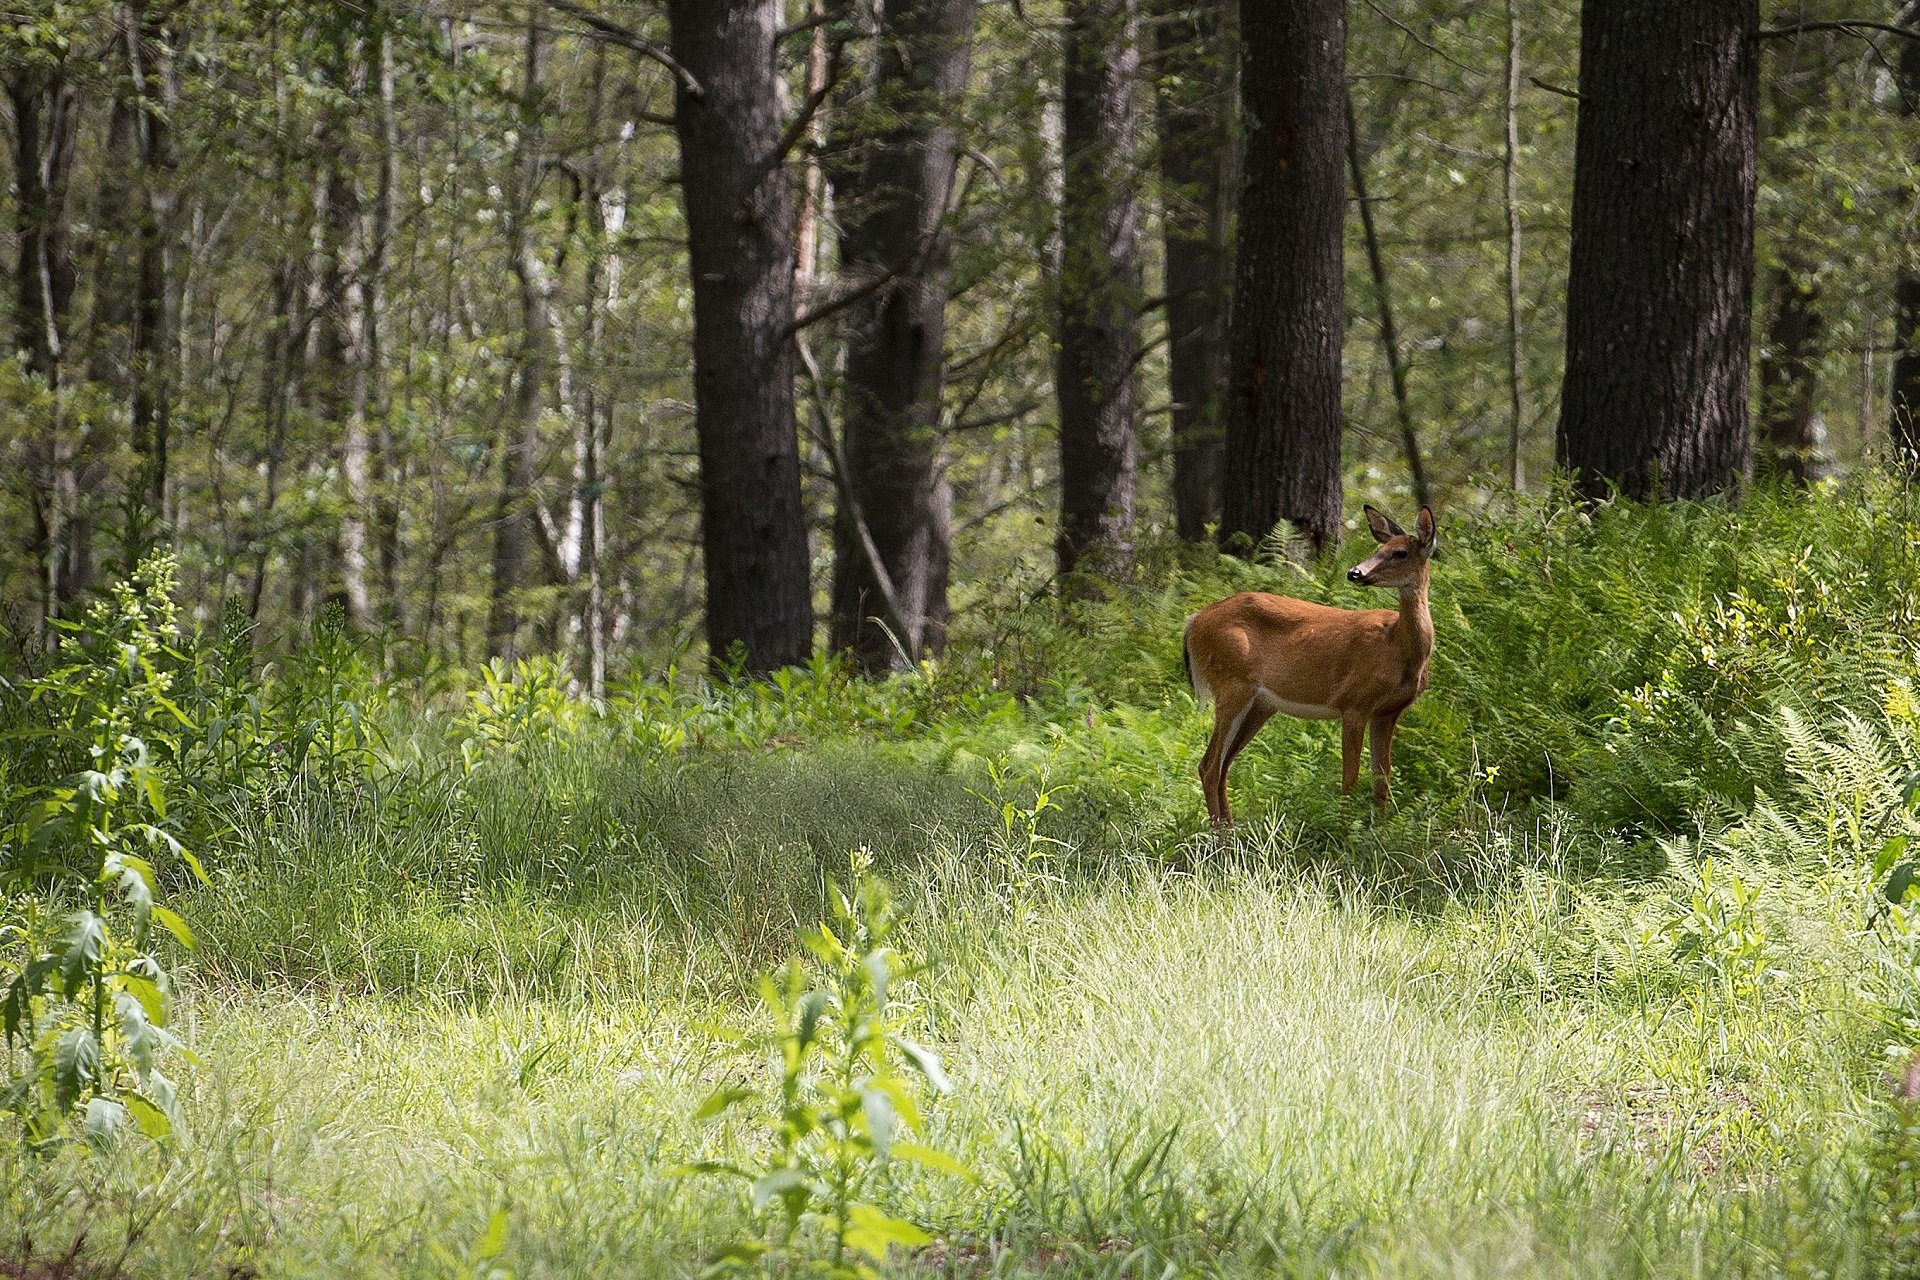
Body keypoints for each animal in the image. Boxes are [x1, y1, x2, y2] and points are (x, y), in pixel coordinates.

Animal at [1182, 506, 1443, 825]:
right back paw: (1219, 834)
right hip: (1232, 683)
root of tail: (1194, 620)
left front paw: (1378, 830)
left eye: (1400, 553)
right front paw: (1345, 829)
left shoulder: (1387, 713)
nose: (1355, 572)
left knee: (1222, 766)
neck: (1399, 647)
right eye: (1378, 549)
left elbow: (1382, 779)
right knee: (1208, 765)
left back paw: (1231, 830)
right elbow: (1350, 777)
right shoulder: (1354, 703)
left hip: (1261, 705)